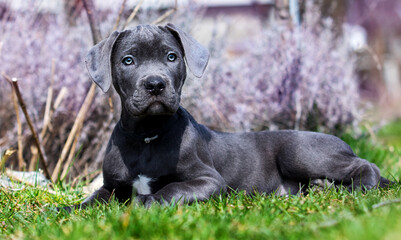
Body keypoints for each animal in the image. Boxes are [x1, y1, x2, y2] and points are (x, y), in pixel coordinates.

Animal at [66, 23, 390, 209]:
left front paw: (146, 201)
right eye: (128, 61)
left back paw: (357, 188)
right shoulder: (111, 187)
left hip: (299, 151)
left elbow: (172, 188)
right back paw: (322, 188)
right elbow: (90, 201)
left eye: (171, 57)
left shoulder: (209, 180)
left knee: (368, 166)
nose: (155, 84)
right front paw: (66, 210)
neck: (147, 135)